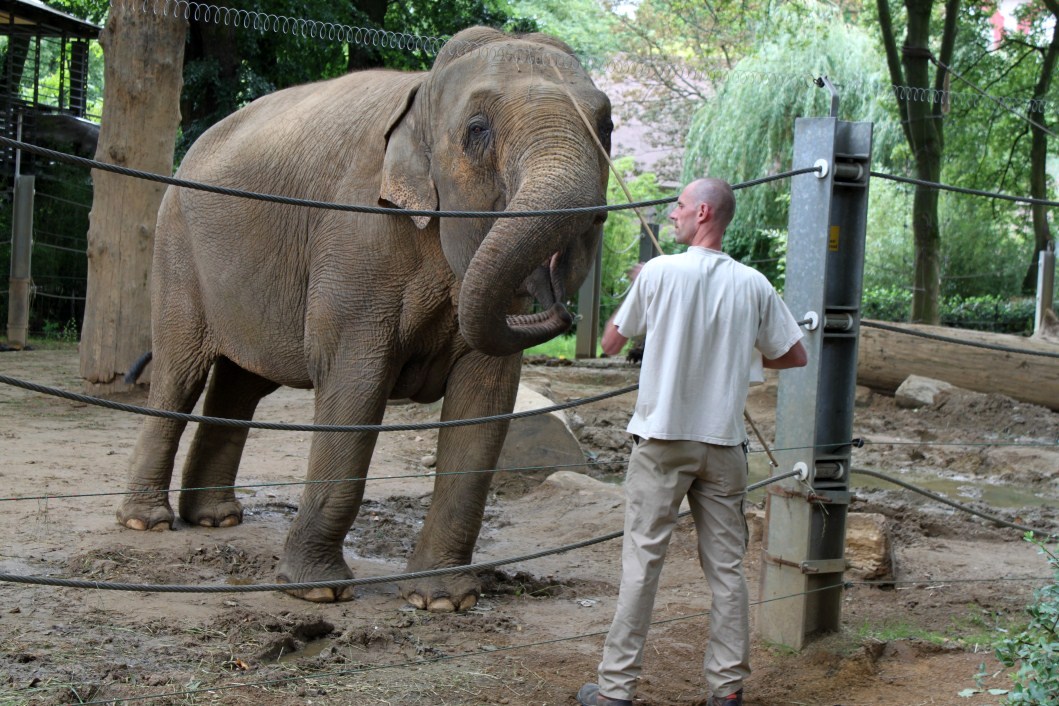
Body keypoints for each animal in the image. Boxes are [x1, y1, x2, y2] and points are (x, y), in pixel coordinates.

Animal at [116, 26, 613, 612]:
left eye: (607, 127)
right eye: (477, 129)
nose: (556, 301)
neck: (422, 93)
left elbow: (485, 398)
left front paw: (443, 602)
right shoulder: (356, 236)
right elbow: (354, 382)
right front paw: (317, 592)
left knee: (241, 385)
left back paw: (216, 519)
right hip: (175, 250)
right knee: (180, 373)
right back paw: (146, 523)